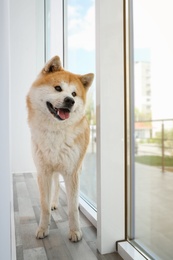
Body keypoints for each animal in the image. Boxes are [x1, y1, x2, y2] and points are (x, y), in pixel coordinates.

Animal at [26, 55, 94, 243]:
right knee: (56, 186)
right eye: (58, 88)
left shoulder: (72, 172)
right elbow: (44, 205)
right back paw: (54, 202)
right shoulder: (43, 172)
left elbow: (72, 207)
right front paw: (43, 228)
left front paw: (75, 231)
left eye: (74, 94)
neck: (55, 132)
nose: (70, 101)